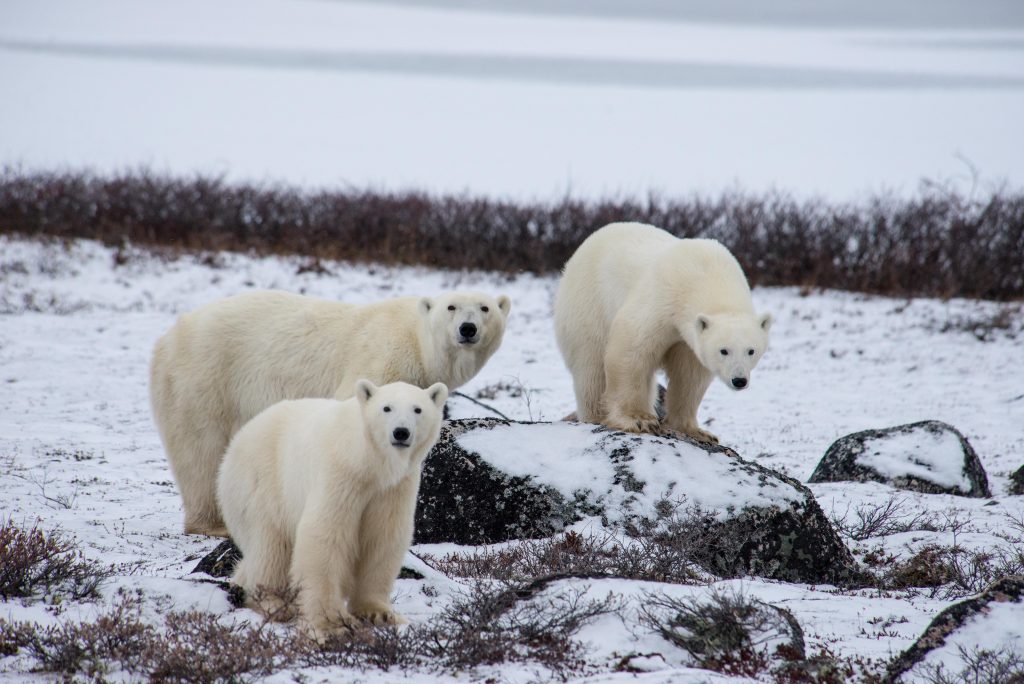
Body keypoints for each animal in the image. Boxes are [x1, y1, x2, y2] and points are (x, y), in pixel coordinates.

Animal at [150, 289, 510, 537]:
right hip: (205, 375)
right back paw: (213, 524)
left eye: (485, 308)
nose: (468, 328)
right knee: (200, 450)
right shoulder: (382, 357)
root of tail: (167, 337)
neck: (417, 341)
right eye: (451, 307)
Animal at [217, 380, 448, 639]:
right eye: (386, 408)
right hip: (262, 485)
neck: (370, 462)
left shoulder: (393, 488)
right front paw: (333, 624)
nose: (401, 432)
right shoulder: (341, 473)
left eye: (418, 409)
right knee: (271, 547)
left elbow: (383, 537)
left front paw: (380, 613)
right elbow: (325, 534)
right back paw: (274, 604)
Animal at [553, 222, 771, 443]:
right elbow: (631, 348)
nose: (739, 380)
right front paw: (638, 420)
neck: (709, 275)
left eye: (751, 351)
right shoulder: (663, 297)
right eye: (723, 350)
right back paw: (596, 416)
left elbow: (690, 374)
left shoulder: (687, 339)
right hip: (588, 305)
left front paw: (696, 431)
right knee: (591, 365)